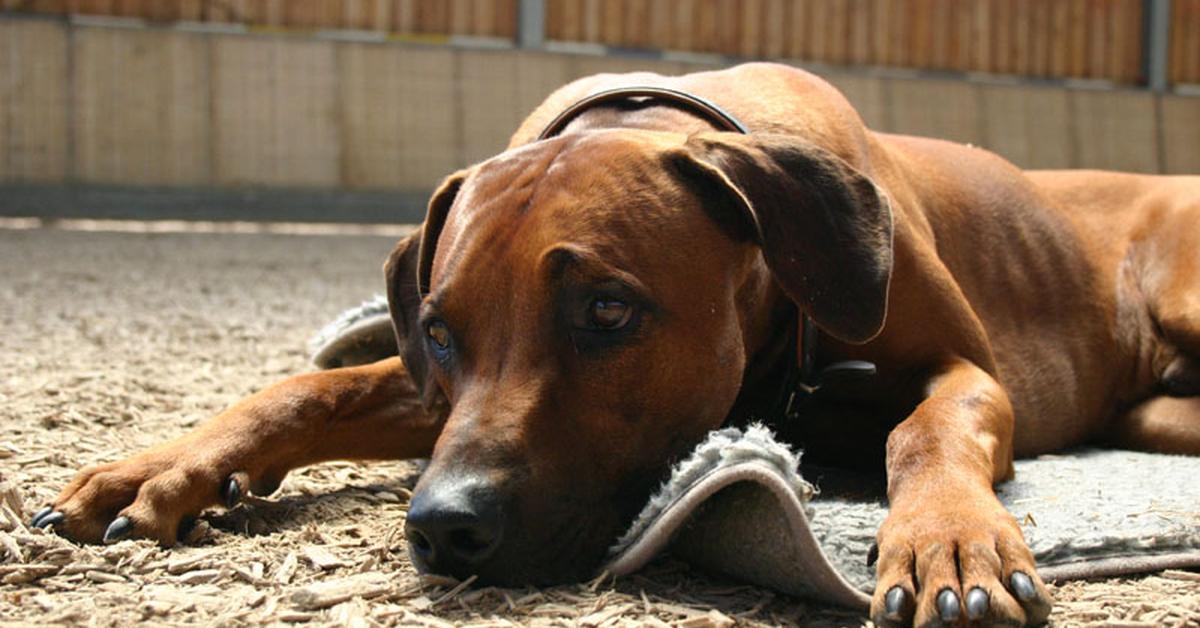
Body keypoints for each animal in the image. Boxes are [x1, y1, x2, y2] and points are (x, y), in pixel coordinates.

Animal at [37, 65, 1200, 628]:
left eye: (608, 312)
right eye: (442, 332)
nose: (442, 526)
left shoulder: (966, 370)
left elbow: (930, 425)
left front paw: (948, 538)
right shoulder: (432, 392)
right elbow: (301, 389)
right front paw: (160, 466)